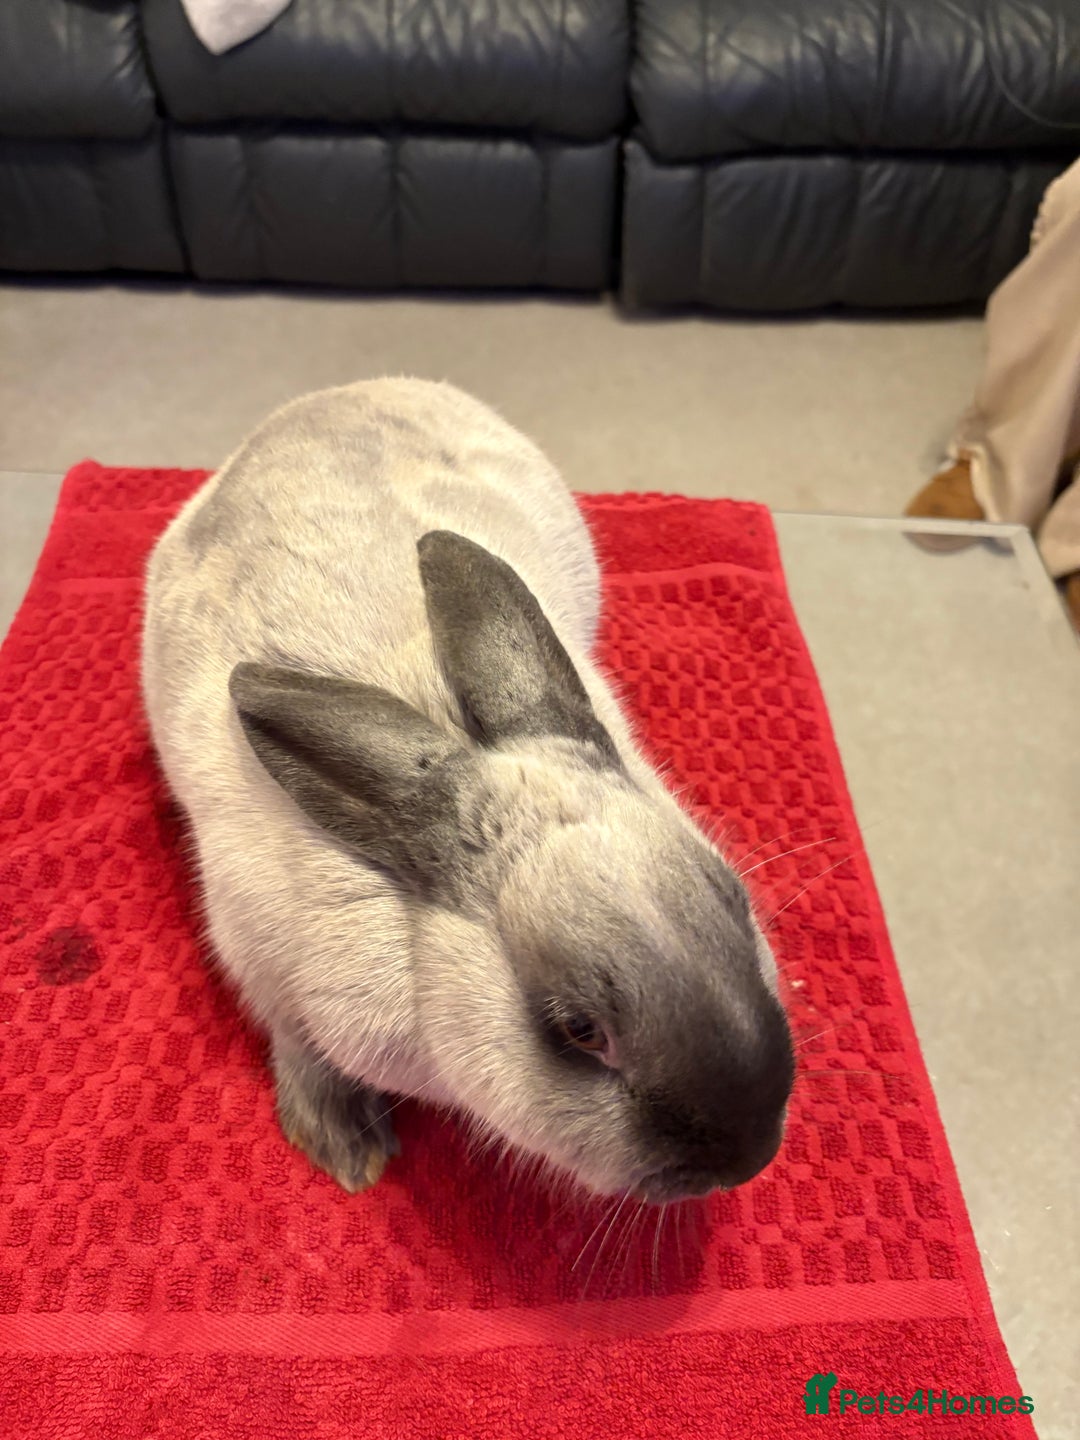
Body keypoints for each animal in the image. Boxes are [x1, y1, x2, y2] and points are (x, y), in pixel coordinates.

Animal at [141, 378, 794, 1204]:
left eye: (735, 898)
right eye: (578, 1030)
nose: (750, 1155)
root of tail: (339, 393)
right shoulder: (260, 964)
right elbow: (299, 1051)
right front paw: (348, 1152)